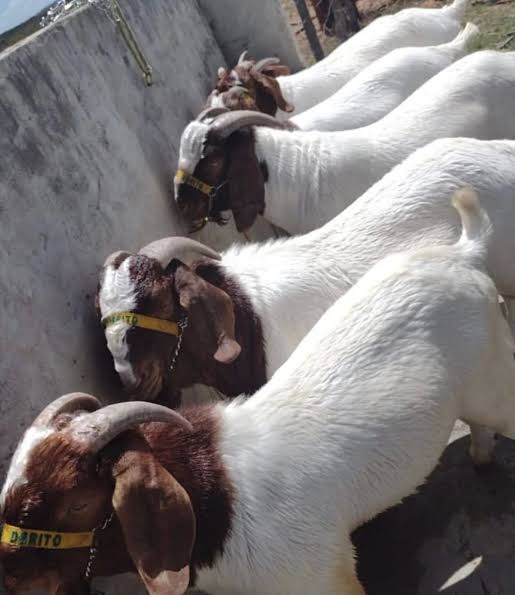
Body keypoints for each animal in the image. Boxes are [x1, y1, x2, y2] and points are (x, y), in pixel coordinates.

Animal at [4, 192, 515, 595]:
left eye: (77, 503)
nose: (11, 577)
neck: (213, 493)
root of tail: (464, 252)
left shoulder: (321, 576)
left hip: (494, 380)